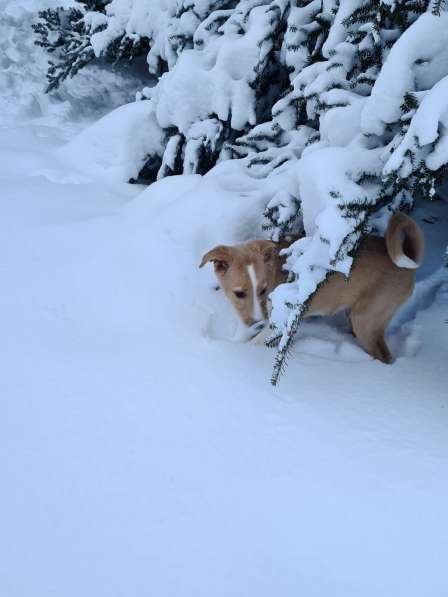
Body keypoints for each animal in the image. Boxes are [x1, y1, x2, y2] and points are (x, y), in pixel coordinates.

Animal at [199, 214, 424, 364]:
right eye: (239, 293)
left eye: (263, 290)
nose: (257, 323)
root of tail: (408, 265)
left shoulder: (280, 320)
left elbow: (255, 342)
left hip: (366, 320)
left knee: (385, 356)